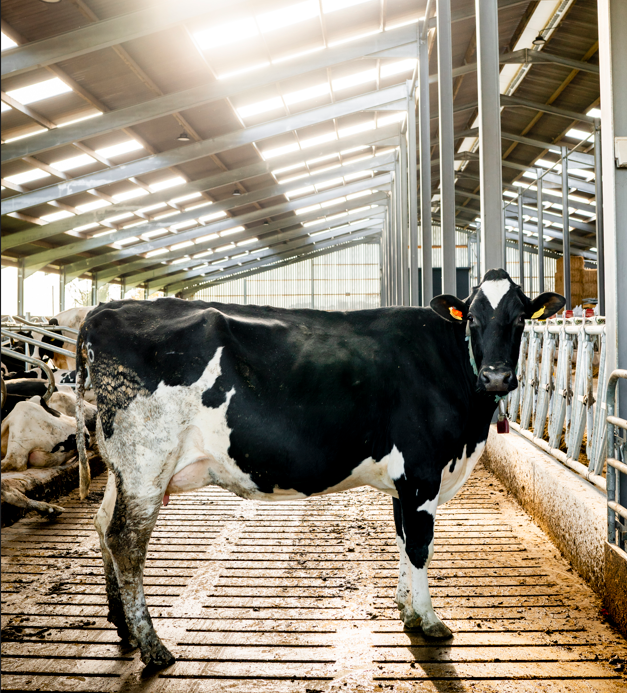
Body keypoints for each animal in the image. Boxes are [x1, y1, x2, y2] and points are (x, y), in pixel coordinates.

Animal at [75, 268, 565, 668]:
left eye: (520, 319)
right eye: (473, 320)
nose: (496, 377)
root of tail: (107, 308)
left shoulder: (404, 484)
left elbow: (403, 541)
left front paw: (407, 610)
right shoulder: (423, 473)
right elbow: (421, 546)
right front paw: (429, 620)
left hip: (125, 469)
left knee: (102, 524)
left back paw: (122, 626)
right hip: (147, 463)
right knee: (126, 542)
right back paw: (152, 646)